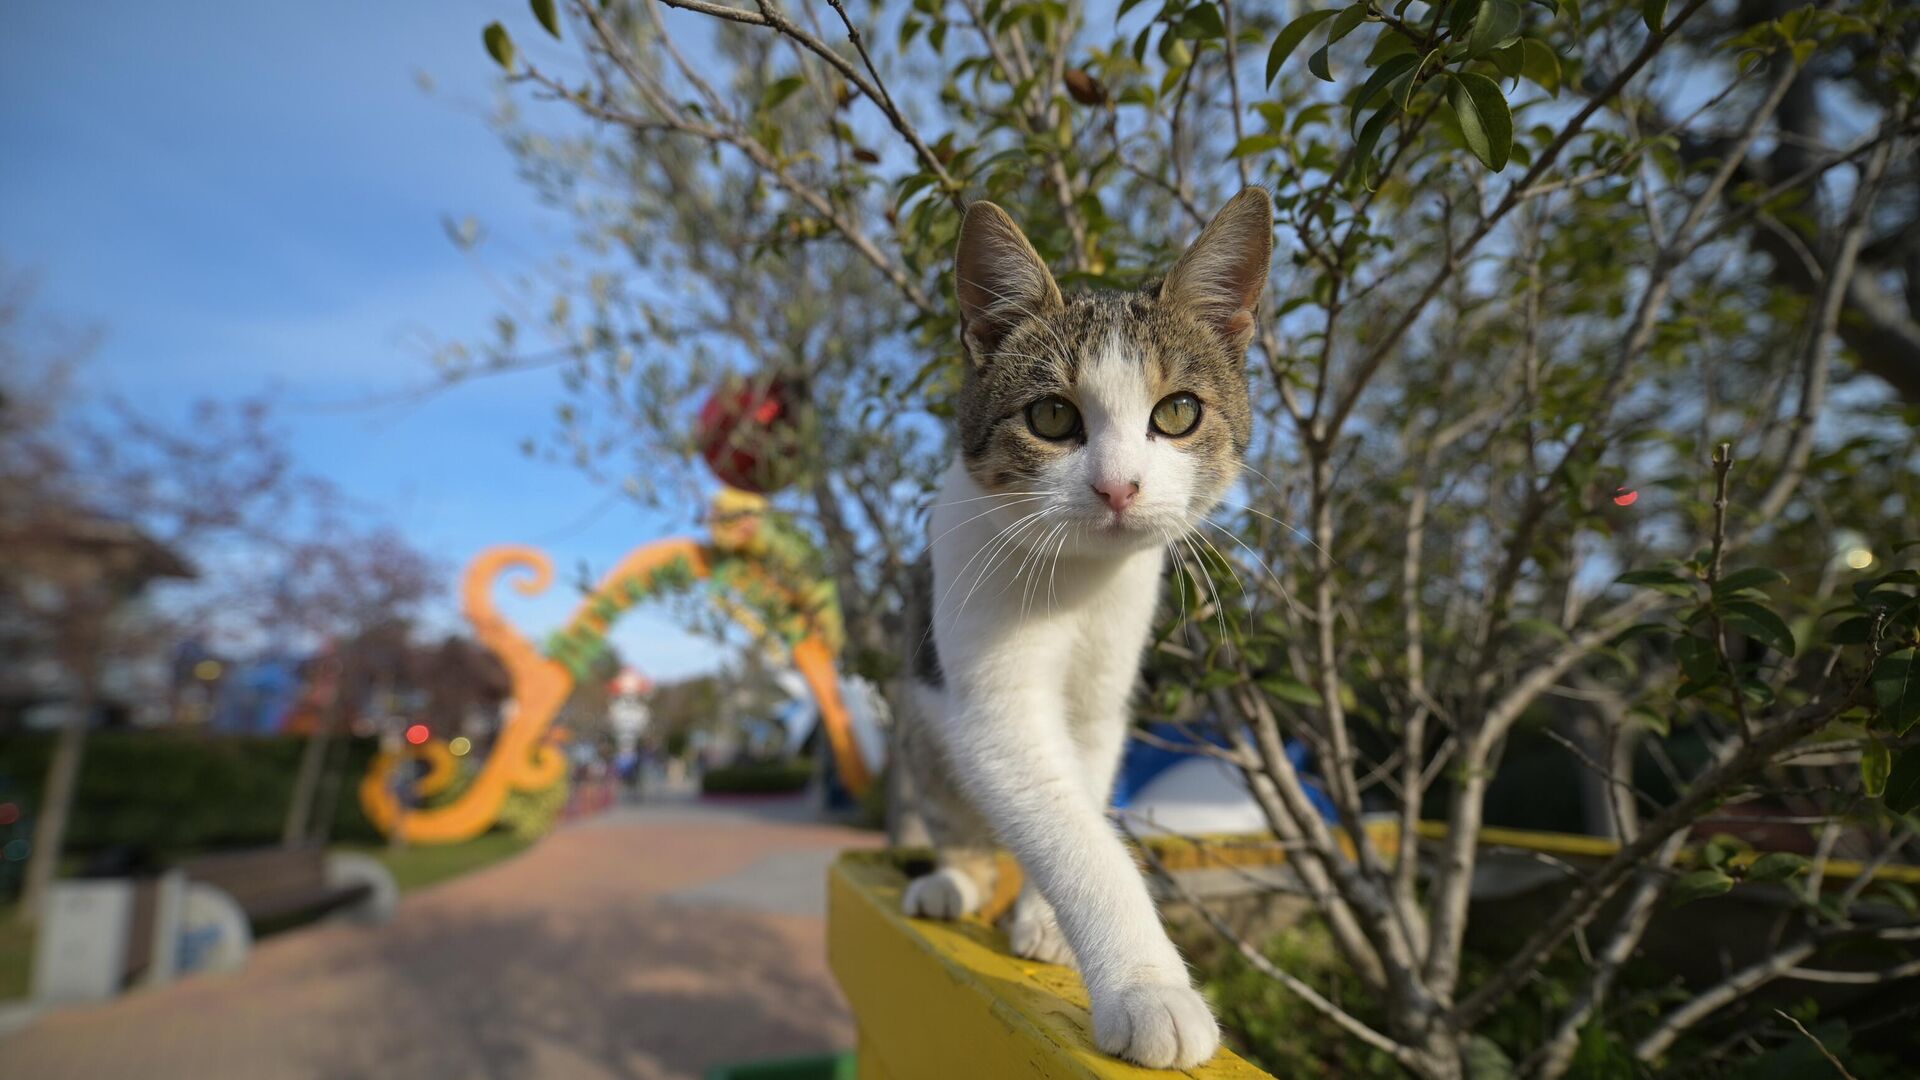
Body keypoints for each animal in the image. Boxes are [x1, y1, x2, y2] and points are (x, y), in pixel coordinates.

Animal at [898, 187, 1274, 1068]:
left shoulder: (1104, 696)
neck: (1077, 585)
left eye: (1178, 412)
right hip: (919, 718)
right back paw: (953, 880)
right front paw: (1149, 988)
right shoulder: (992, 698)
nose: (1118, 488)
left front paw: (1046, 924)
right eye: (1050, 416)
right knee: (949, 802)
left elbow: (1087, 785)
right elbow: (1065, 821)